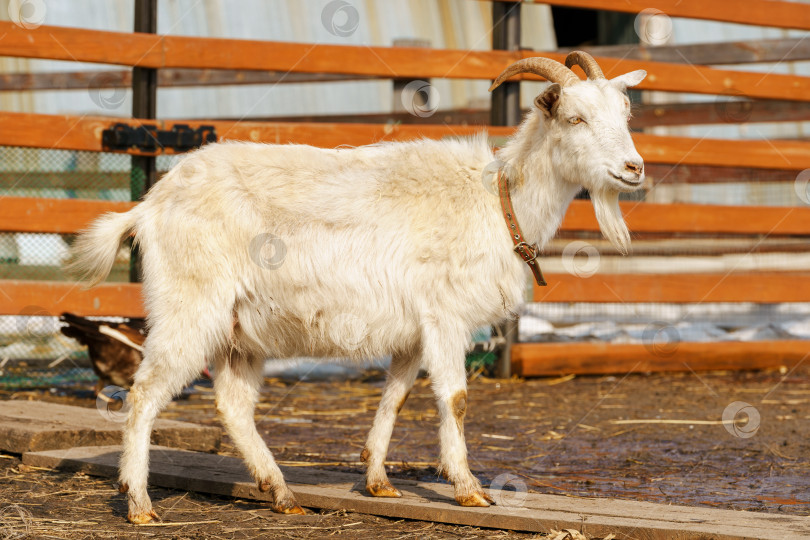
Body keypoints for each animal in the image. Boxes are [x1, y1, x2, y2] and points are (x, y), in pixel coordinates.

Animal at [69, 52, 644, 520]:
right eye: (574, 118)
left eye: (624, 117)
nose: (634, 168)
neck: (497, 199)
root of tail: (148, 206)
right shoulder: (445, 316)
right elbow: (455, 399)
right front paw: (469, 488)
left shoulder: (413, 329)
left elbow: (395, 396)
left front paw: (377, 480)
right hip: (189, 305)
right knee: (143, 393)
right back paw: (140, 503)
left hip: (239, 328)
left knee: (232, 405)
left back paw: (280, 493)